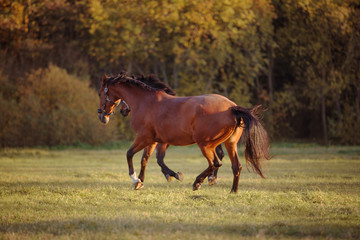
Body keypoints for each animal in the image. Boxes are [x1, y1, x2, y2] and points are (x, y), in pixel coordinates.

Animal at [98, 72, 270, 192]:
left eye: (100, 93)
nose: (101, 115)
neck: (146, 101)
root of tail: (232, 108)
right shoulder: (154, 140)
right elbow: (146, 160)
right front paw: (141, 182)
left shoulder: (144, 137)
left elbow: (130, 154)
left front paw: (136, 180)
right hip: (230, 144)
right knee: (236, 166)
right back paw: (232, 191)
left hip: (205, 144)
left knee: (216, 163)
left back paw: (198, 182)